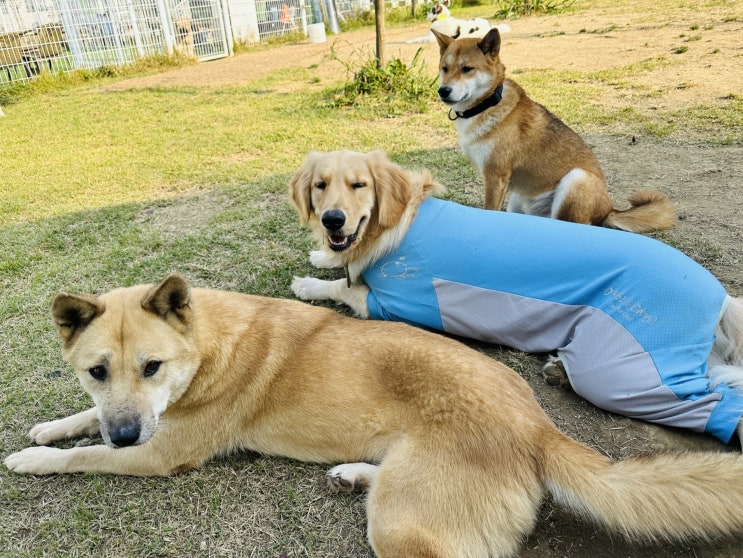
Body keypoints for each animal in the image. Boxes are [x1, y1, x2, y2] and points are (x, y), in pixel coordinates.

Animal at [4, 274, 743, 556]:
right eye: (97, 372)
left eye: (152, 368)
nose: (126, 428)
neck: (209, 343)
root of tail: (536, 425)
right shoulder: (126, 420)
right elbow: (82, 424)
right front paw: (47, 428)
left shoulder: (159, 452)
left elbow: (86, 454)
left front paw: (35, 457)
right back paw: (352, 475)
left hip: (404, 527)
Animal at [434, 27, 676, 234]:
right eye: (444, 69)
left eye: (467, 69)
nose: (443, 91)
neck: (486, 105)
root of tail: (609, 210)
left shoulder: (495, 177)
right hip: (517, 200)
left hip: (576, 179)